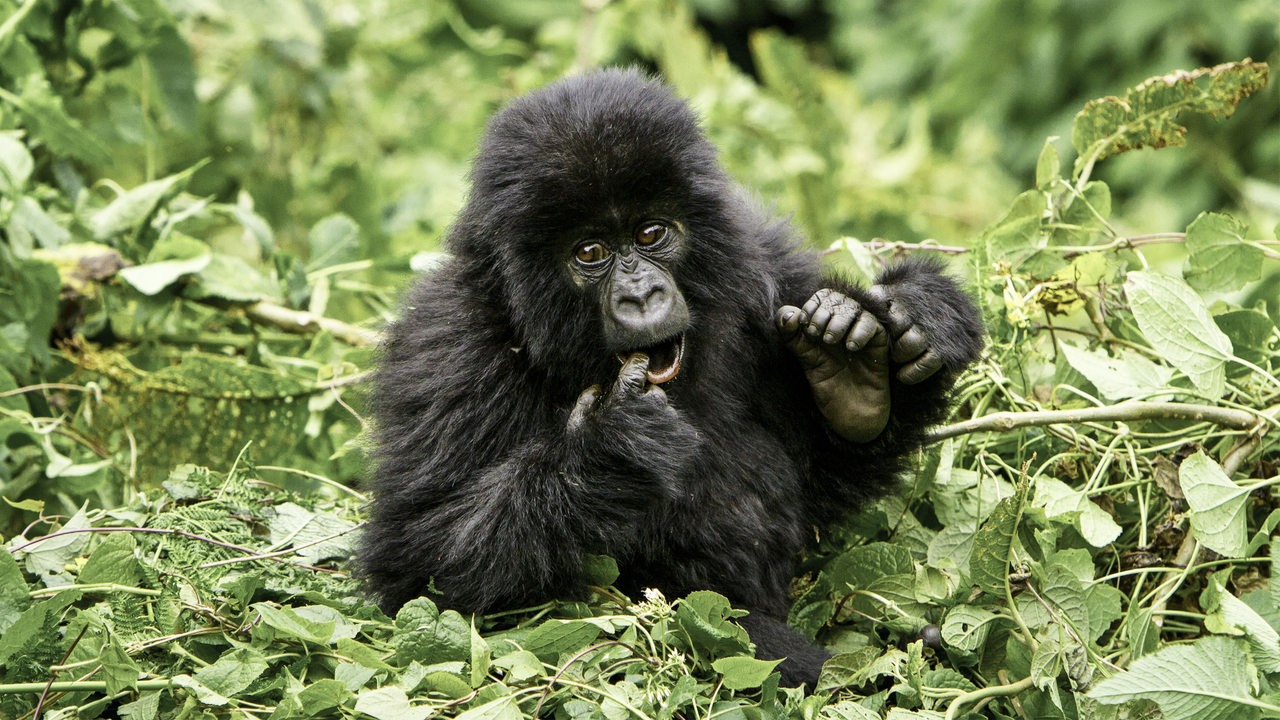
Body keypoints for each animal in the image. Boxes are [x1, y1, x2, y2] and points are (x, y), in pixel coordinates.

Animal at [366, 67, 983, 681]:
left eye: (649, 235)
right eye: (589, 251)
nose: (641, 296)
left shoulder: (763, 259)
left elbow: (821, 481)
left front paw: (890, 345)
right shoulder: (446, 346)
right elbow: (417, 566)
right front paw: (611, 451)